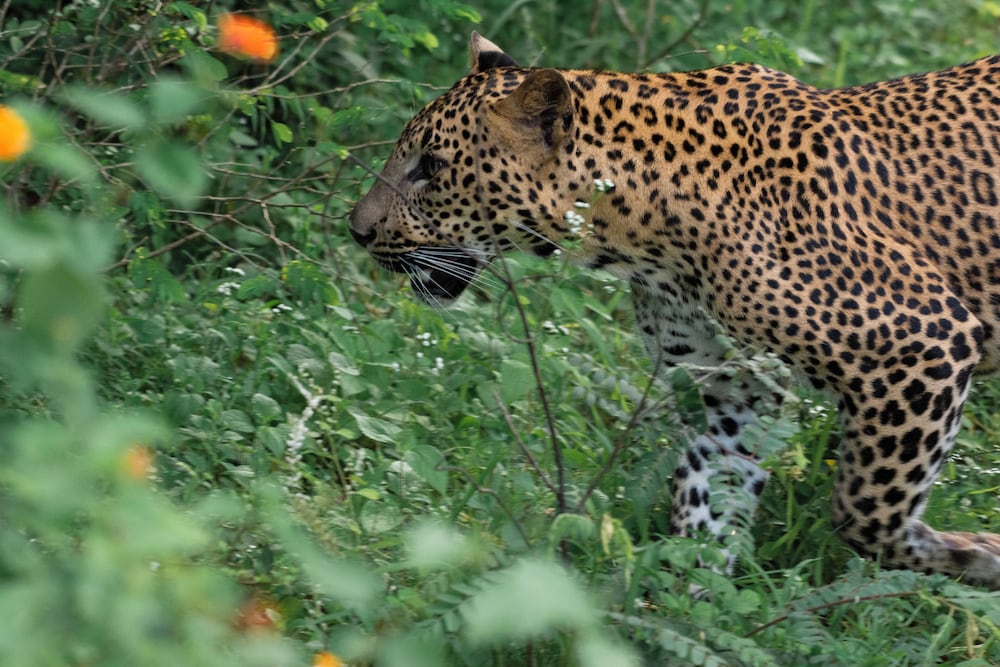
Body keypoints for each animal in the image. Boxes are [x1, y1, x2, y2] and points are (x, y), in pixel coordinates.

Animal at [349, 32, 1000, 589]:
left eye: (431, 167)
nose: (356, 230)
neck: (642, 230)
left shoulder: (921, 342)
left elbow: (865, 509)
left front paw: (976, 555)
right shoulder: (729, 387)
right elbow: (707, 493)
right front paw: (689, 604)